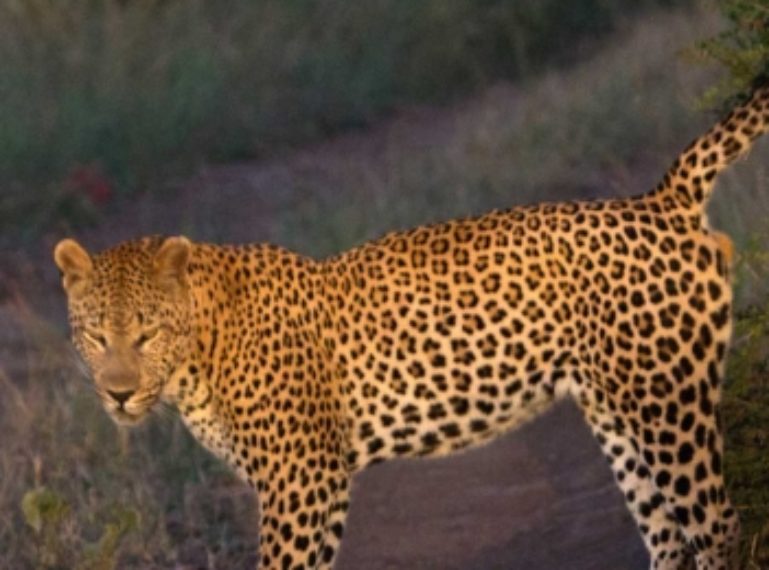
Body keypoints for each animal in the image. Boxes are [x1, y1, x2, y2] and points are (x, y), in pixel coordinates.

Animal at [54, 85, 768, 568]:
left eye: (146, 334)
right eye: (95, 336)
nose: (118, 393)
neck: (194, 361)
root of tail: (660, 200)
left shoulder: (299, 479)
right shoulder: (321, 484)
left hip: (667, 405)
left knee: (718, 524)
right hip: (618, 414)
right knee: (668, 531)